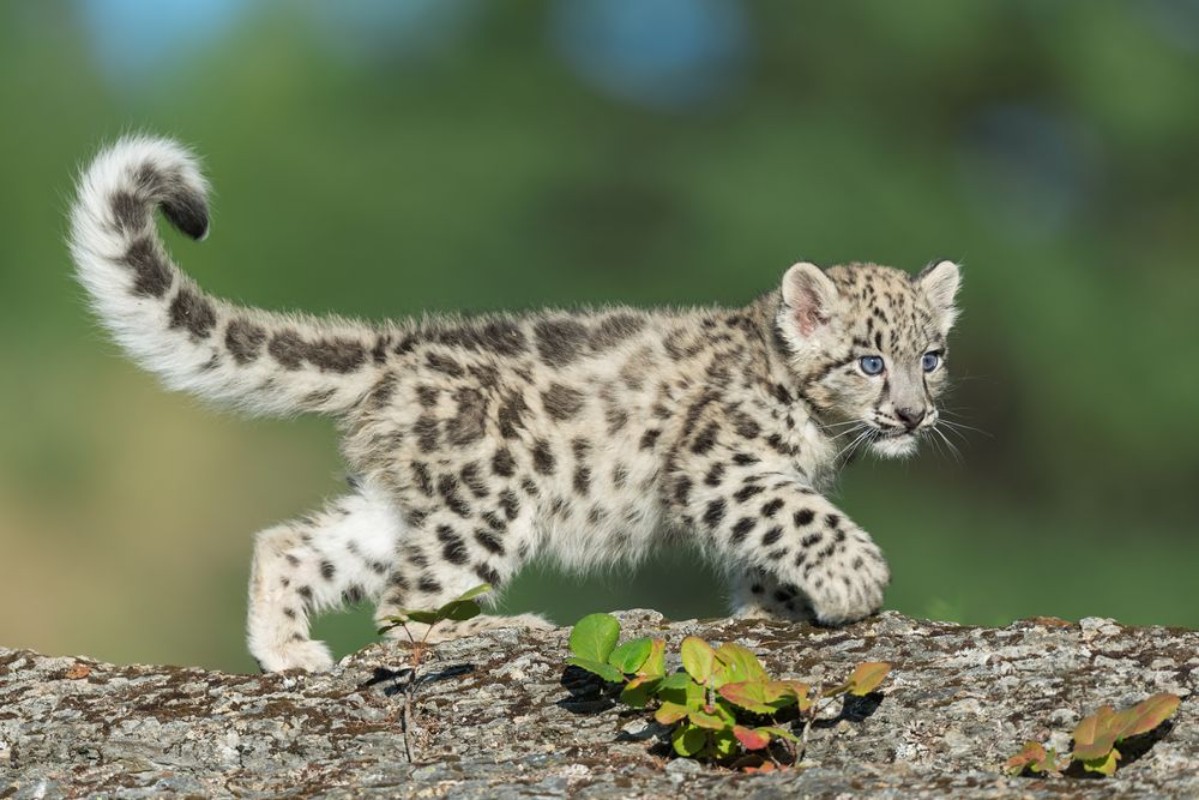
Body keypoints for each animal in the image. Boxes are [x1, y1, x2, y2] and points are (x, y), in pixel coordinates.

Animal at [70, 139, 959, 676]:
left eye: (931, 357)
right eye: (869, 361)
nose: (913, 415)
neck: (820, 432)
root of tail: (396, 346)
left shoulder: (753, 478)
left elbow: (769, 546)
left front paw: (778, 608)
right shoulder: (722, 466)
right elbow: (799, 517)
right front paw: (854, 580)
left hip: (405, 504)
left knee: (294, 546)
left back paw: (288, 653)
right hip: (490, 498)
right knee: (407, 608)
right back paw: (509, 627)